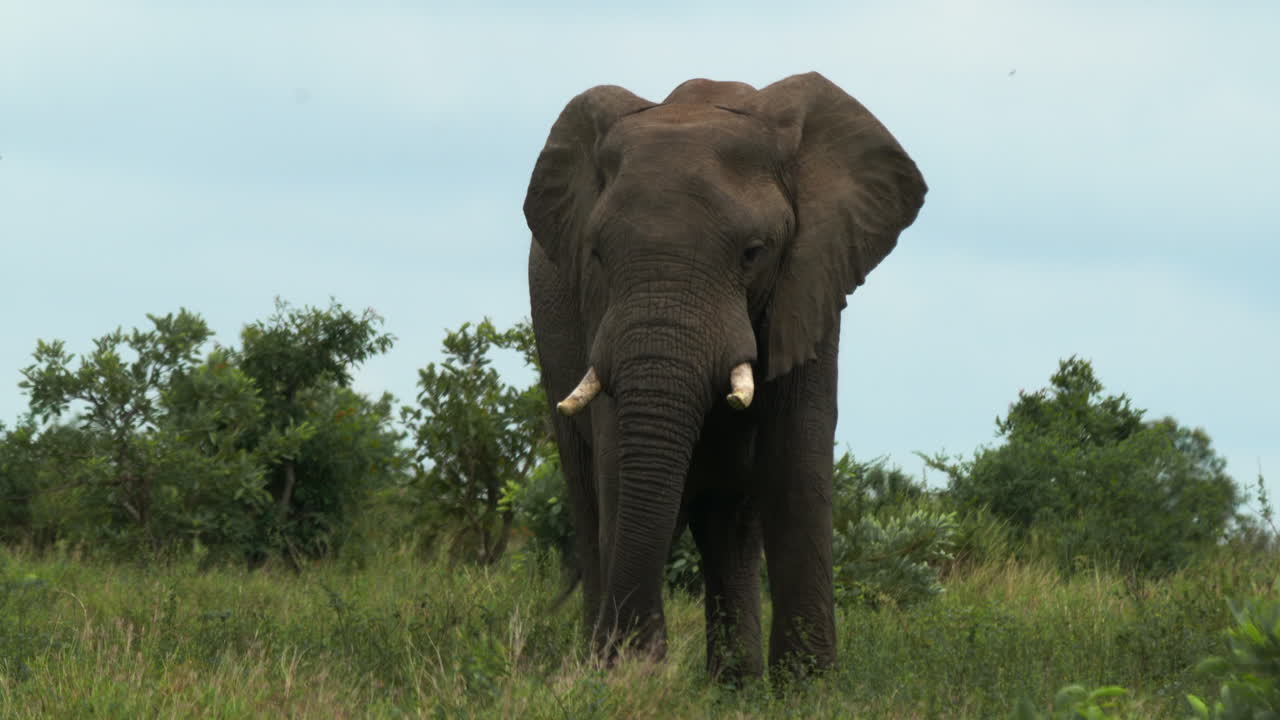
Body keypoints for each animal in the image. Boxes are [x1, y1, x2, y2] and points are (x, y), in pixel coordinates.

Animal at [523, 71, 926, 681]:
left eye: (753, 253)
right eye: (596, 255)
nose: (639, 655)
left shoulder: (810, 282)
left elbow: (794, 467)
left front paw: (808, 689)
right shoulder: (598, 314)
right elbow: (618, 467)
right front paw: (623, 680)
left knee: (729, 526)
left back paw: (733, 687)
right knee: (591, 500)